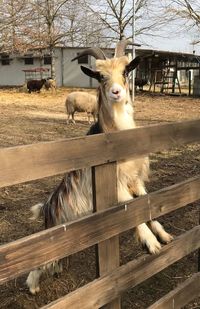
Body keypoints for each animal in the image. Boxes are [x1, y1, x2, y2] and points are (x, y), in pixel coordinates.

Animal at [26, 39, 173, 294]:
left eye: (125, 72)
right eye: (101, 76)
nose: (116, 92)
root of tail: (47, 207)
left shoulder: (135, 180)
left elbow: (146, 204)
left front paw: (163, 235)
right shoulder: (117, 185)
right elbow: (132, 211)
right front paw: (151, 243)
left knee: (56, 261)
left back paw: (55, 272)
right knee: (40, 262)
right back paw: (33, 287)